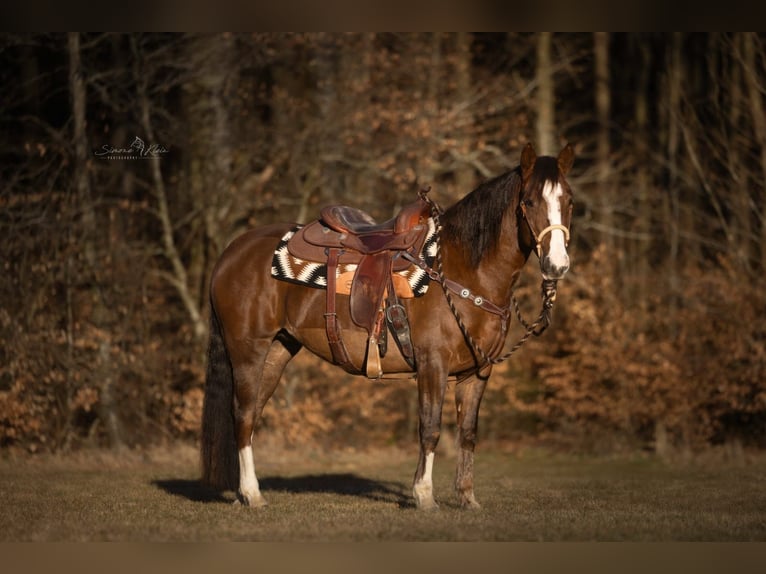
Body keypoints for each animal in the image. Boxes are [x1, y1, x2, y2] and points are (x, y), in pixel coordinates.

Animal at [201, 144, 572, 512]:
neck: (463, 270)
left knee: (252, 415)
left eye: (568, 201)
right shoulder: (433, 364)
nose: (557, 265)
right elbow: (430, 428)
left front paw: (467, 498)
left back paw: (246, 493)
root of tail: (232, 252)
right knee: (242, 413)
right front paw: (424, 495)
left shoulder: (477, 372)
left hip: (278, 351)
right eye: (529, 201)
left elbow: (467, 433)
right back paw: (252, 494)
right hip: (248, 350)